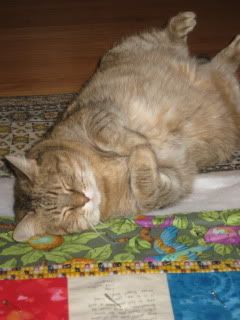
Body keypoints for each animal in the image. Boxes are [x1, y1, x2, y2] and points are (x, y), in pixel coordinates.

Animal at [5, 11, 240, 240]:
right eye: (66, 213)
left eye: (66, 184)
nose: (84, 199)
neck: (102, 176)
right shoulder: (170, 185)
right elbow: (146, 188)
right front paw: (141, 154)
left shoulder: (93, 115)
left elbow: (112, 136)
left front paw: (138, 145)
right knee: (225, 63)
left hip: (134, 46)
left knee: (172, 37)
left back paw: (185, 24)